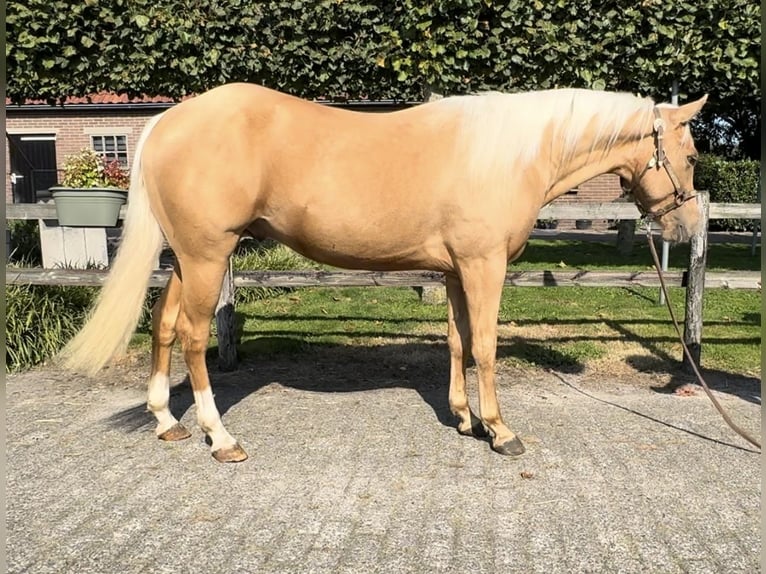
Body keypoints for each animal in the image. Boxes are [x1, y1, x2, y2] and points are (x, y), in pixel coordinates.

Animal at [60, 83, 708, 464]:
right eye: (693, 154)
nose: (688, 225)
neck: (506, 155)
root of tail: (167, 121)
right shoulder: (484, 266)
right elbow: (487, 346)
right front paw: (501, 431)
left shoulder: (456, 271)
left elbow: (458, 341)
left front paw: (465, 419)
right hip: (206, 256)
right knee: (194, 337)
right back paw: (220, 438)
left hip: (186, 256)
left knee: (164, 324)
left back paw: (167, 422)